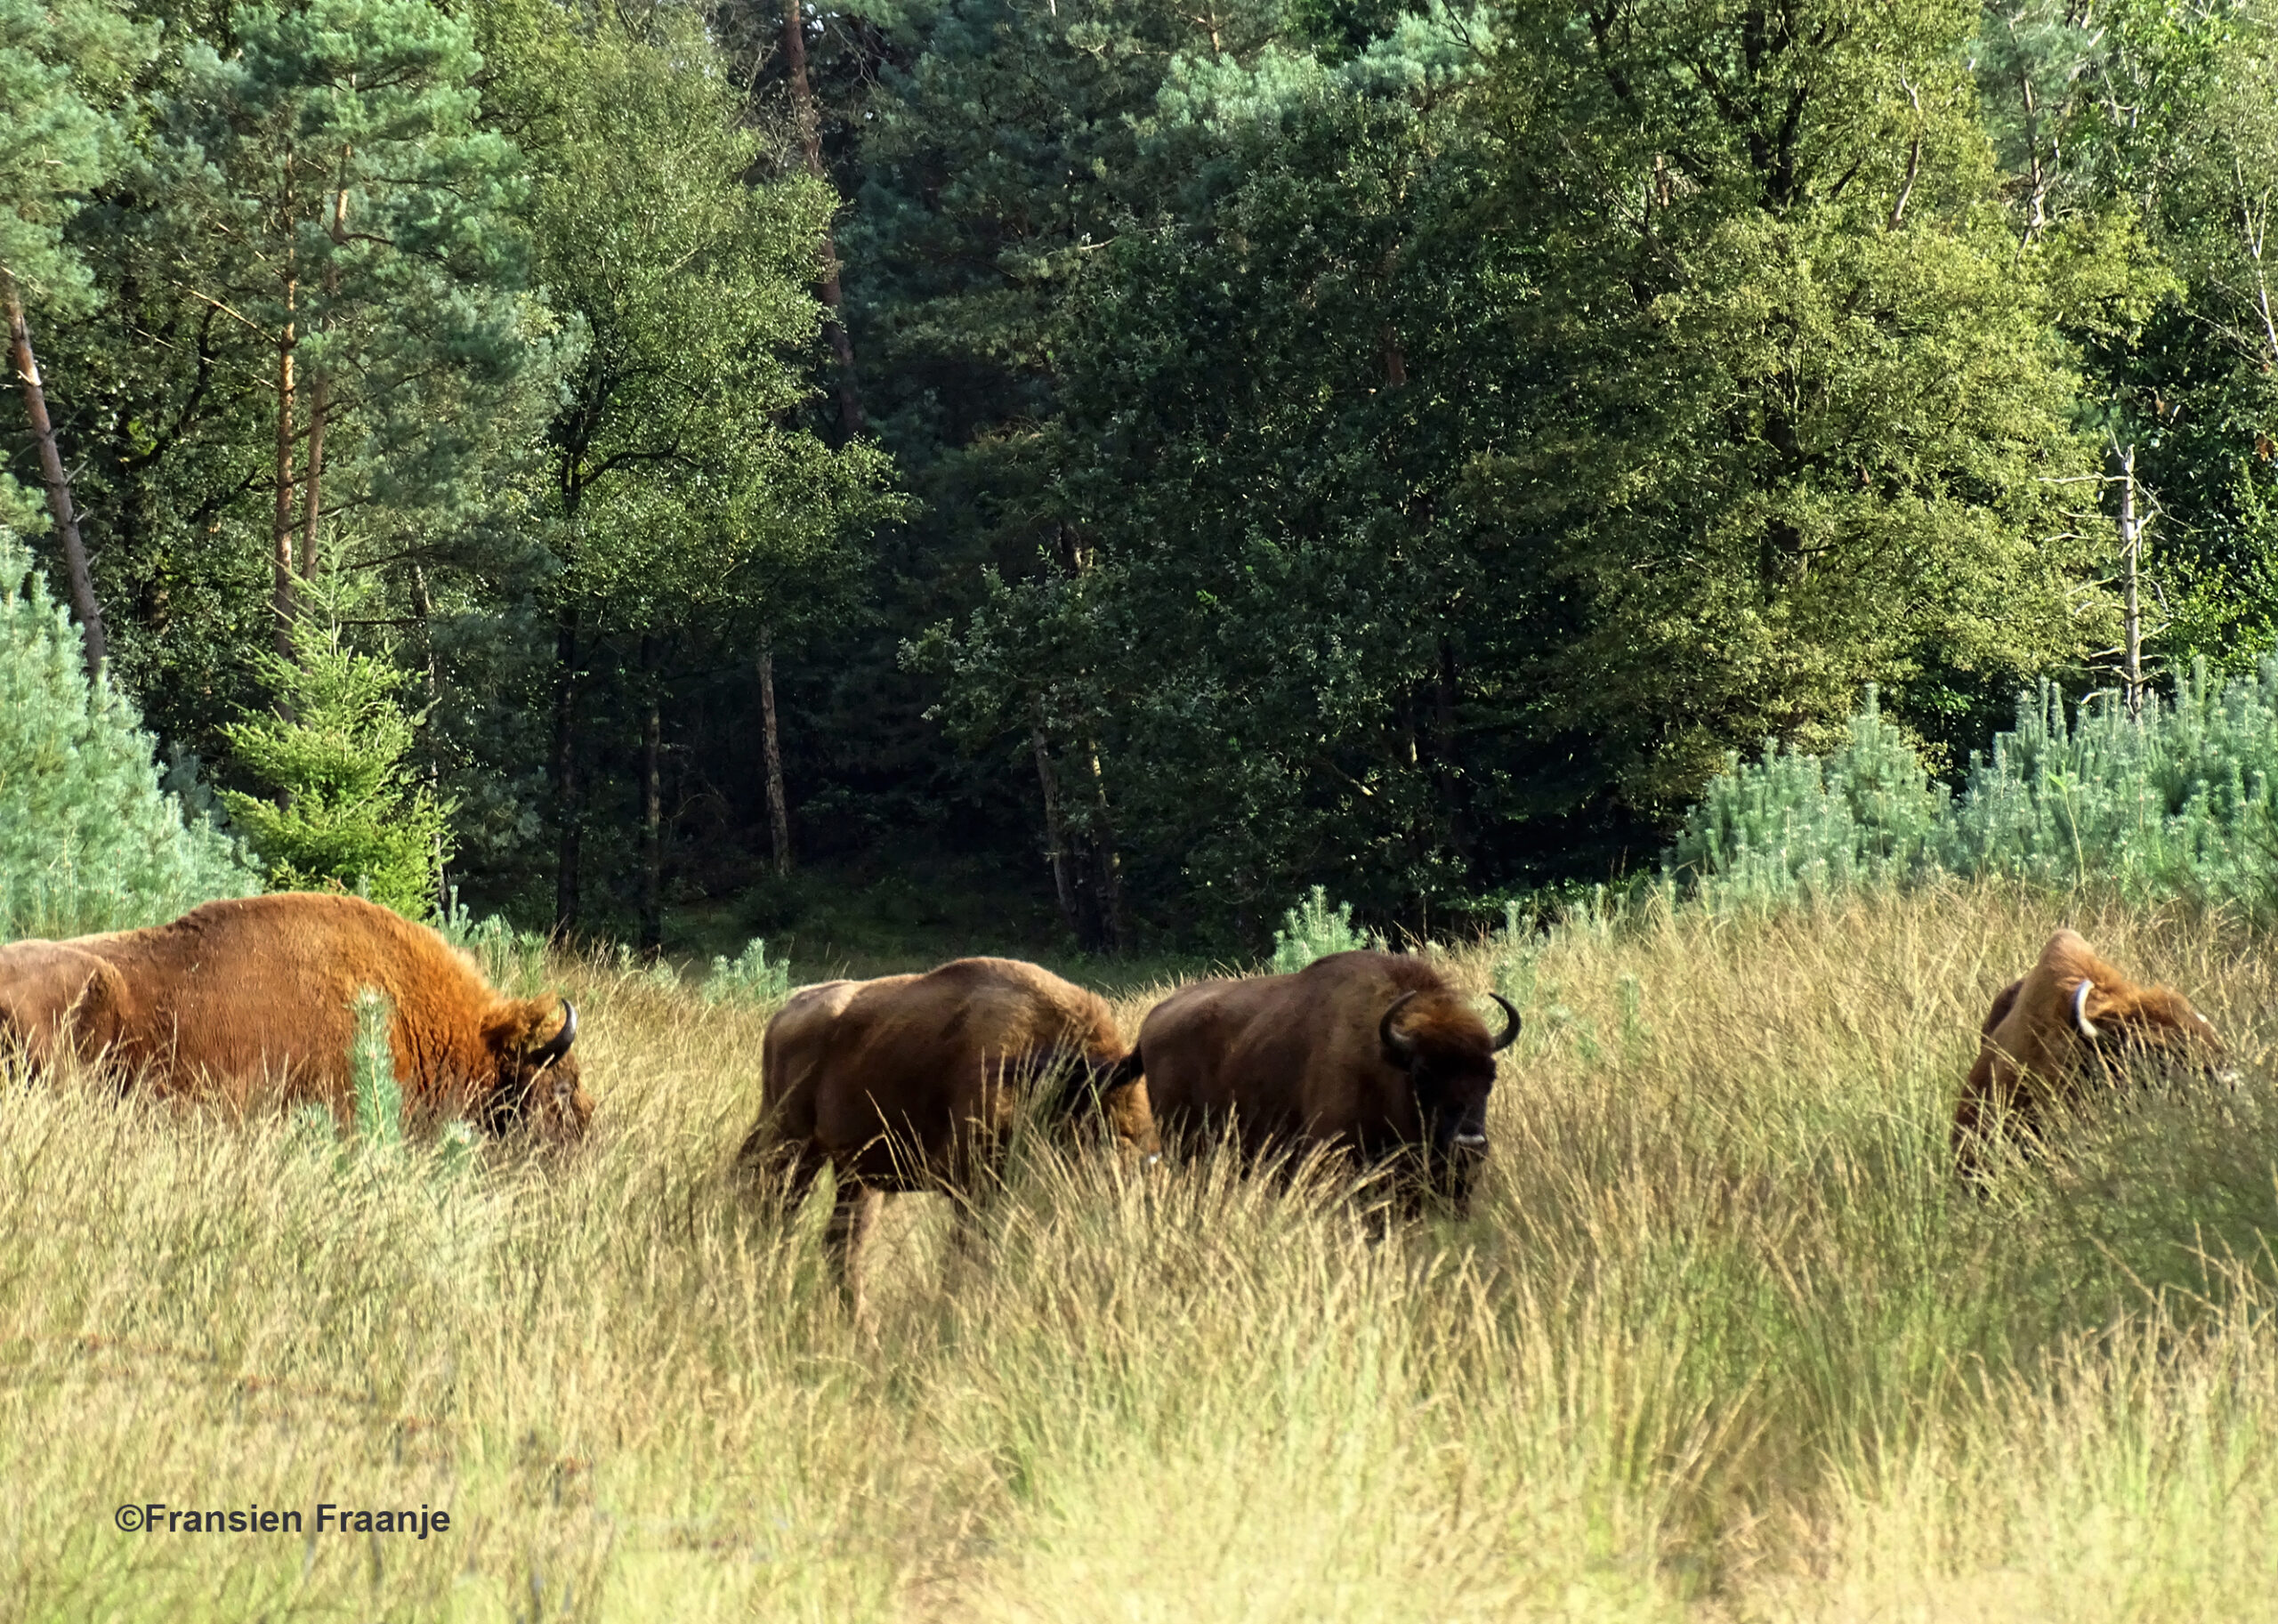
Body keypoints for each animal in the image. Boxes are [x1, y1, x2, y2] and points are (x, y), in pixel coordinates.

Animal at [733, 951, 1157, 1321]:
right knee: (774, 1216)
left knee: (841, 1247)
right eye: (1107, 1134)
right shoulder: (974, 1188)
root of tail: (786, 1012)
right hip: (791, 1146)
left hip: (857, 1175)